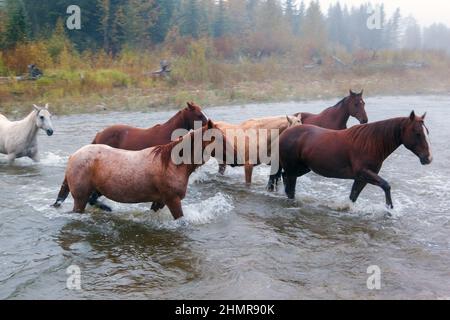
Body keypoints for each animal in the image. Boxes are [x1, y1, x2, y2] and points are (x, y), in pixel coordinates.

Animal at [280, 111, 430, 209]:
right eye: (418, 133)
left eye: (427, 132)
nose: (428, 158)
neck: (370, 143)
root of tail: (285, 133)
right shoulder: (364, 173)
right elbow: (386, 185)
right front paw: (389, 210)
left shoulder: (362, 178)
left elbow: (353, 196)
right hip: (293, 169)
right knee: (290, 188)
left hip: (302, 168)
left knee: (284, 178)